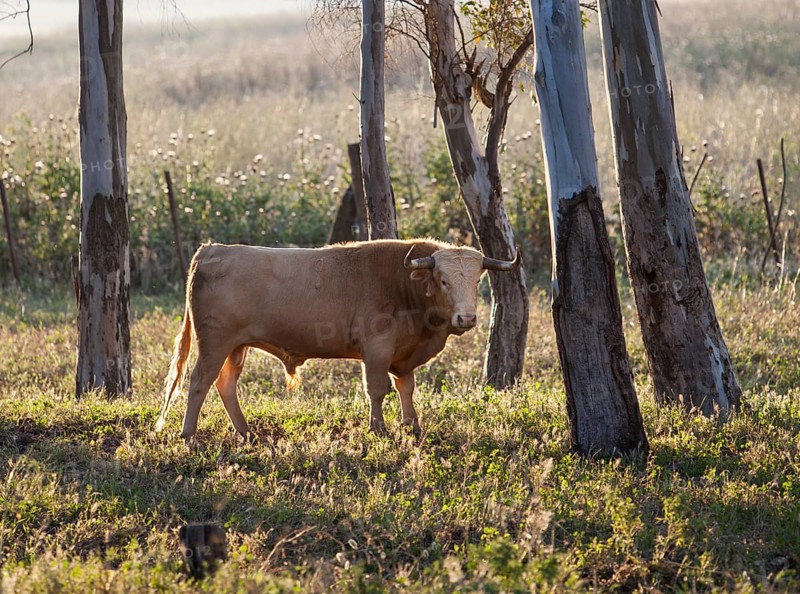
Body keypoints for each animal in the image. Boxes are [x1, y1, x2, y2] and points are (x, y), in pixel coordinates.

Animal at [155, 239, 519, 440]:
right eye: (443, 280)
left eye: (476, 281)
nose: (466, 318)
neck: (404, 285)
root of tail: (212, 250)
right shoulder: (376, 349)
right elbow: (377, 389)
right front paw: (379, 428)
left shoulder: (403, 356)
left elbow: (406, 387)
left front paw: (412, 425)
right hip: (215, 343)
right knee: (199, 381)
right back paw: (189, 434)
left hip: (236, 347)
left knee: (225, 384)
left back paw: (245, 432)